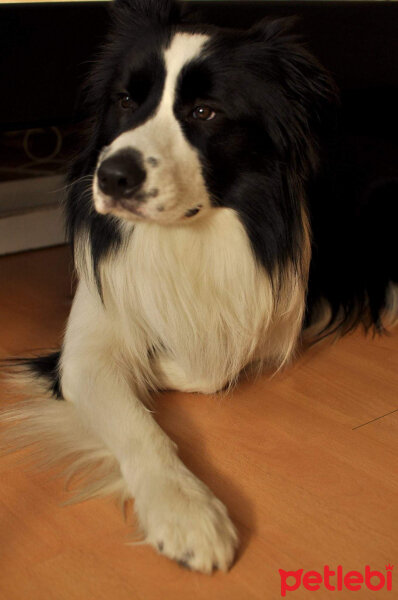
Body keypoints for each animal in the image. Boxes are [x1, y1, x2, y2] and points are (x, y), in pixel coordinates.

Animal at [1, 0, 396, 576]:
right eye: (125, 100)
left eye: (205, 112)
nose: (111, 176)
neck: (185, 237)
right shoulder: (87, 346)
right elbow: (138, 422)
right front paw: (185, 510)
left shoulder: (278, 313)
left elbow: (216, 366)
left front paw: (156, 367)